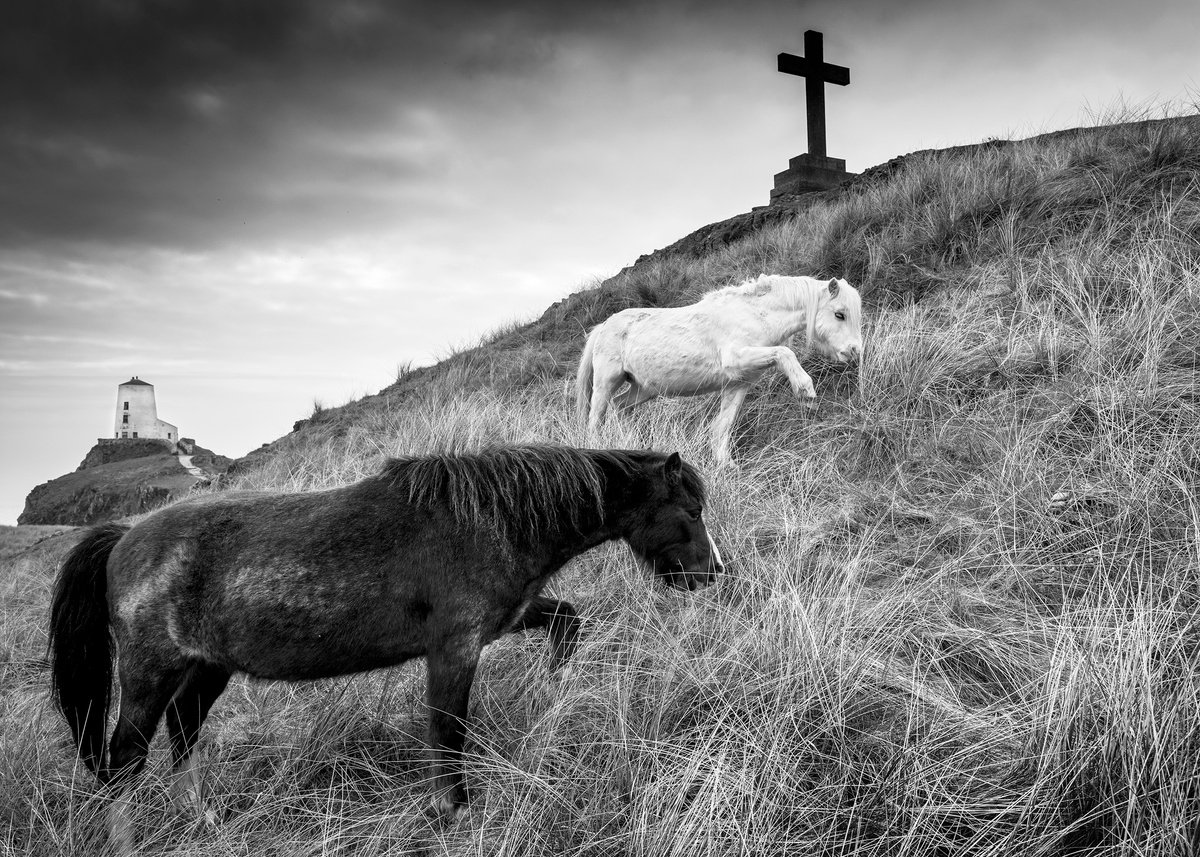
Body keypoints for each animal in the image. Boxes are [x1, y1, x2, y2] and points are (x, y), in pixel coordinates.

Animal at [49, 444, 720, 844]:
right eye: (690, 510)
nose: (712, 574)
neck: (488, 520)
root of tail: (123, 536)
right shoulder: (455, 648)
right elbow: (449, 729)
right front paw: (454, 810)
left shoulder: (508, 618)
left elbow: (567, 622)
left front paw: (553, 689)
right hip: (148, 675)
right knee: (122, 760)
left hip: (207, 667)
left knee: (183, 728)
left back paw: (203, 816)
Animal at [573, 273, 864, 460]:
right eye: (839, 314)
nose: (854, 352)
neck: (753, 314)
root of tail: (602, 327)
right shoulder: (737, 357)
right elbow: (785, 353)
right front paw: (805, 390)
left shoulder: (738, 384)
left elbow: (722, 427)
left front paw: (725, 466)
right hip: (606, 383)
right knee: (596, 418)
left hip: (644, 388)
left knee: (621, 407)